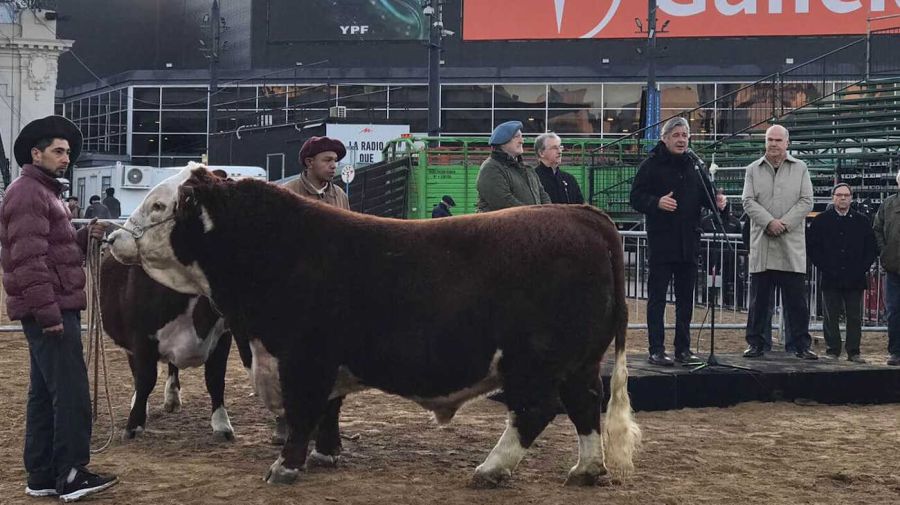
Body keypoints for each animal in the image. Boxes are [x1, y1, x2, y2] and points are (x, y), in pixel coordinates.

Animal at [107, 163, 640, 486]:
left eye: (159, 205)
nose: (113, 238)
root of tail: (584, 215)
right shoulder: (318, 361)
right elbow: (327, 410)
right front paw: (325, 455)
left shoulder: (302, 357)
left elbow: (302, 412)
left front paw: (286, 466)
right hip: (579, 362)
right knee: (585, 406)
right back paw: (586, 469)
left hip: (537, 360)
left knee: (536, 409)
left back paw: (490, 468)